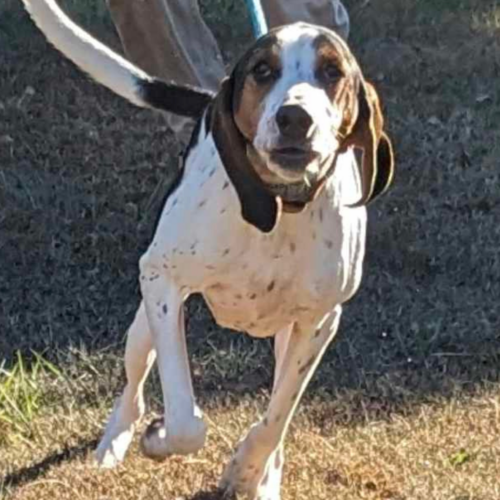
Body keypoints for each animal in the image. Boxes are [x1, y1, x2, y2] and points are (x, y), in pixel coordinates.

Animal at [23, 1, 396, 498]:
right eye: (263, 70)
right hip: (143, 323)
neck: (280, 205)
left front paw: (247, 471)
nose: (295, 118)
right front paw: (159, 438)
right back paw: (114, 442)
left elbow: (275, 419)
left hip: (287, 333)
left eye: (332, 71)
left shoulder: (319, 321)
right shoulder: (161, 280)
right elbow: (184, 419)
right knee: (133, 387)